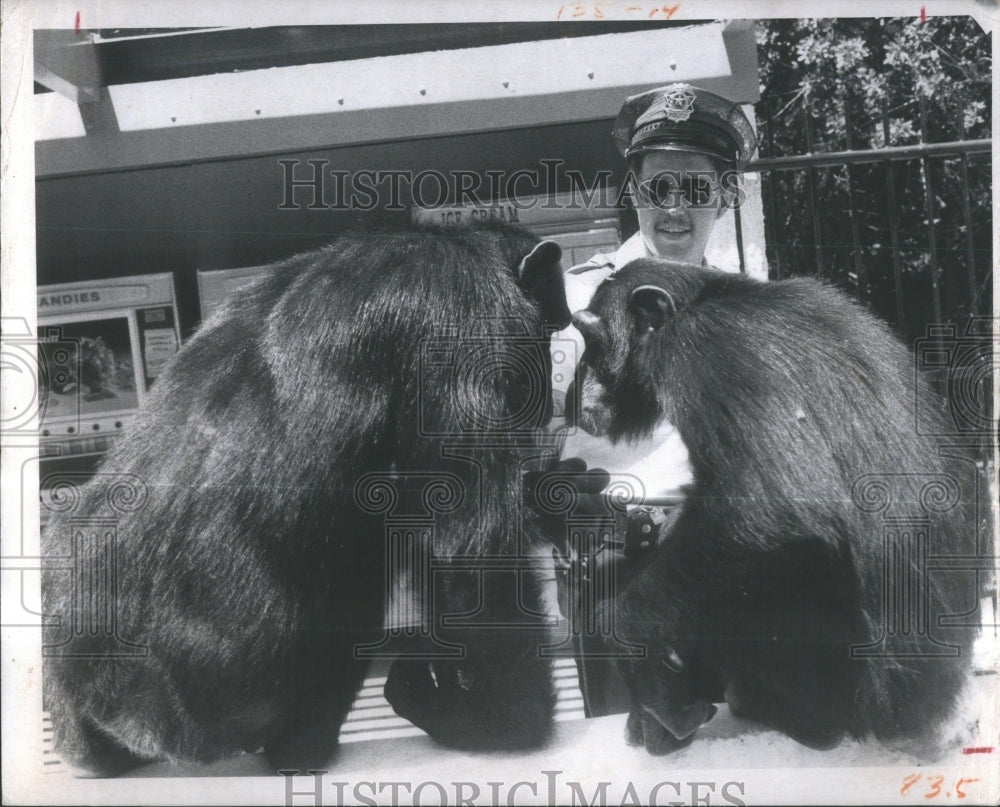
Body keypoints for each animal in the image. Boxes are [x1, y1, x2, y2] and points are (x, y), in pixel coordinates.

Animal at [41, 221, 572, 776]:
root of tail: (129, 716)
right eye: (551, 326)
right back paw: (312, 747)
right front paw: (502, 720)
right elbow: (470, 549)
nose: (549, 389)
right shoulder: (470, 322)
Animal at [572, 260, 984, 756]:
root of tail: (944, 721)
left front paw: (621, 632)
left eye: (592, 341)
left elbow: (769, 504)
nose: (578, 379)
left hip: (843, 691)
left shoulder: (710, 347)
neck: (707, 299)